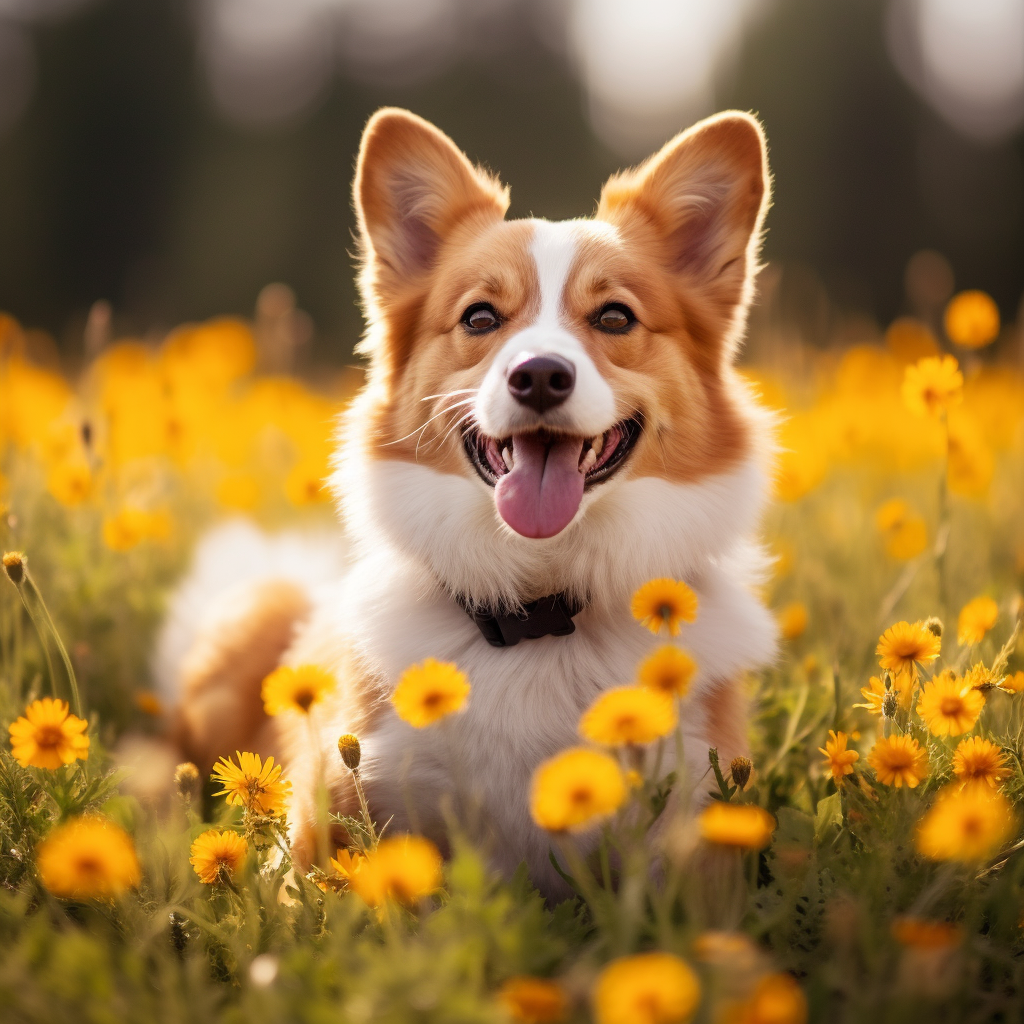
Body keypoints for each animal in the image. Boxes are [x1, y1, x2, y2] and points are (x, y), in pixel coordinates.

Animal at [161, 105, 774, 897]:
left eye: (614, 318)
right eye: (481, 318)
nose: (539, 376)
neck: (541, 613)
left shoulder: (701, 840)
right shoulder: (322, 834)